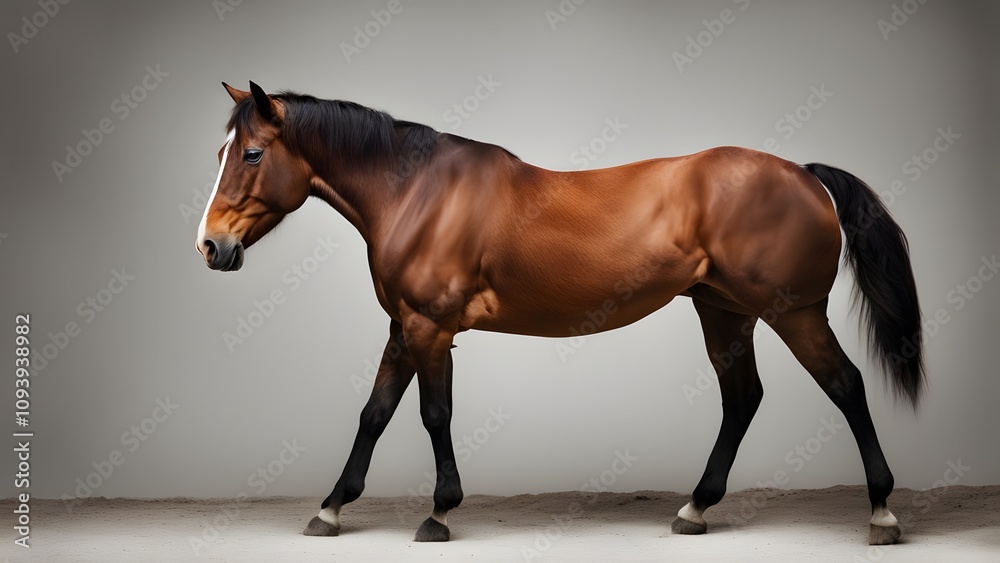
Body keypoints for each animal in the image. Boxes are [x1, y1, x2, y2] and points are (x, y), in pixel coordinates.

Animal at [195, 81, 923, 545]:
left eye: (252, 153)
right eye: (221, 152)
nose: (211, 245)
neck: (419, 193)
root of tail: (803, 173)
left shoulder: (431, 327)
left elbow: (433, 415)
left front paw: (439, 513)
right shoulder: (404, 327)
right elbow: (374, 414)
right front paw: (330, 509)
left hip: (794, 312)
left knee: (845, 386)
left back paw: (882, 513)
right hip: (724, 312)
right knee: (743, 397)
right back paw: (694, 507)